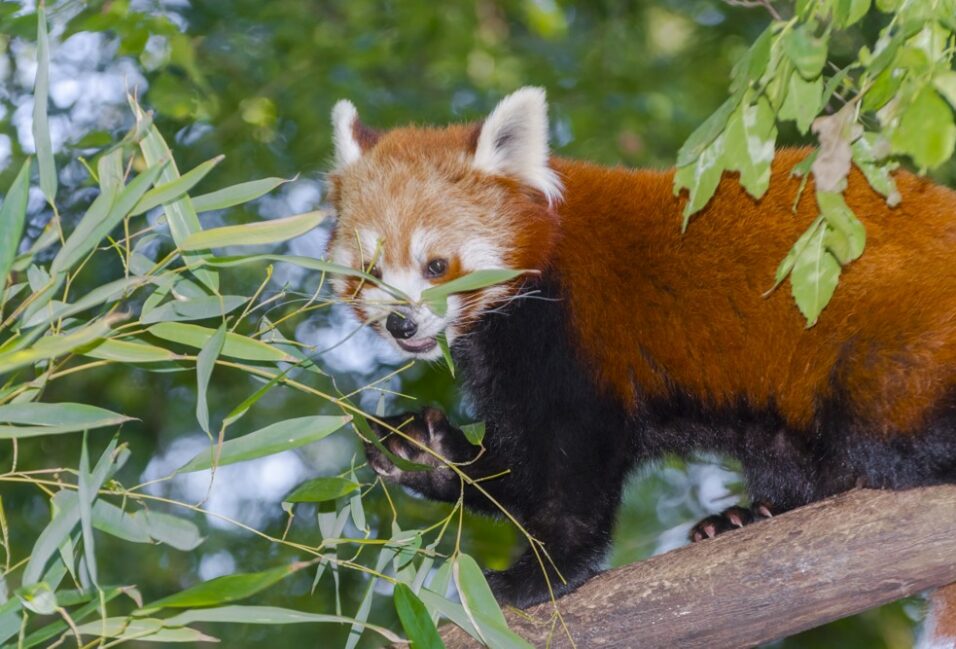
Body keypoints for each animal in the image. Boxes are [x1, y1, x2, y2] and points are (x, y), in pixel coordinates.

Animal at [324, 87, 956, 636]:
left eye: (436, 266)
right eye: (371, 271)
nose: (402, 325)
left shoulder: (574, 334)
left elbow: (573, 472)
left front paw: (541, 575)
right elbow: (519, 471)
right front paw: (421, 453)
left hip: (895, 340)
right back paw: (746, 517)